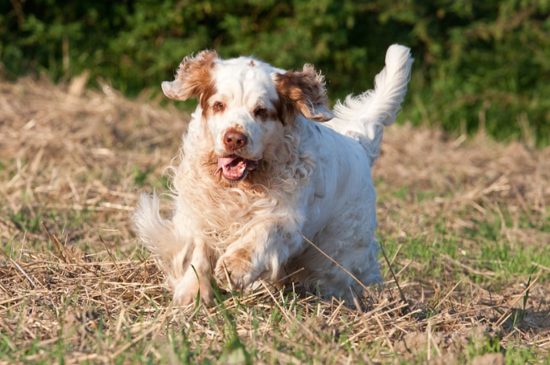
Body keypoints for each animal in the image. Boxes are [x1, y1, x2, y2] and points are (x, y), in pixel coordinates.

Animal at [136, 44, 414, 302]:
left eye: (261, 111)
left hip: (338, 251)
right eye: (219, 105)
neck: (240, 187)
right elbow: (198, 250)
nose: (234, 138)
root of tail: (358, 144)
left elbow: (263, 233)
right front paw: (193, 292)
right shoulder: (201, 212)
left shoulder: (287, 218)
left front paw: (235, 268)